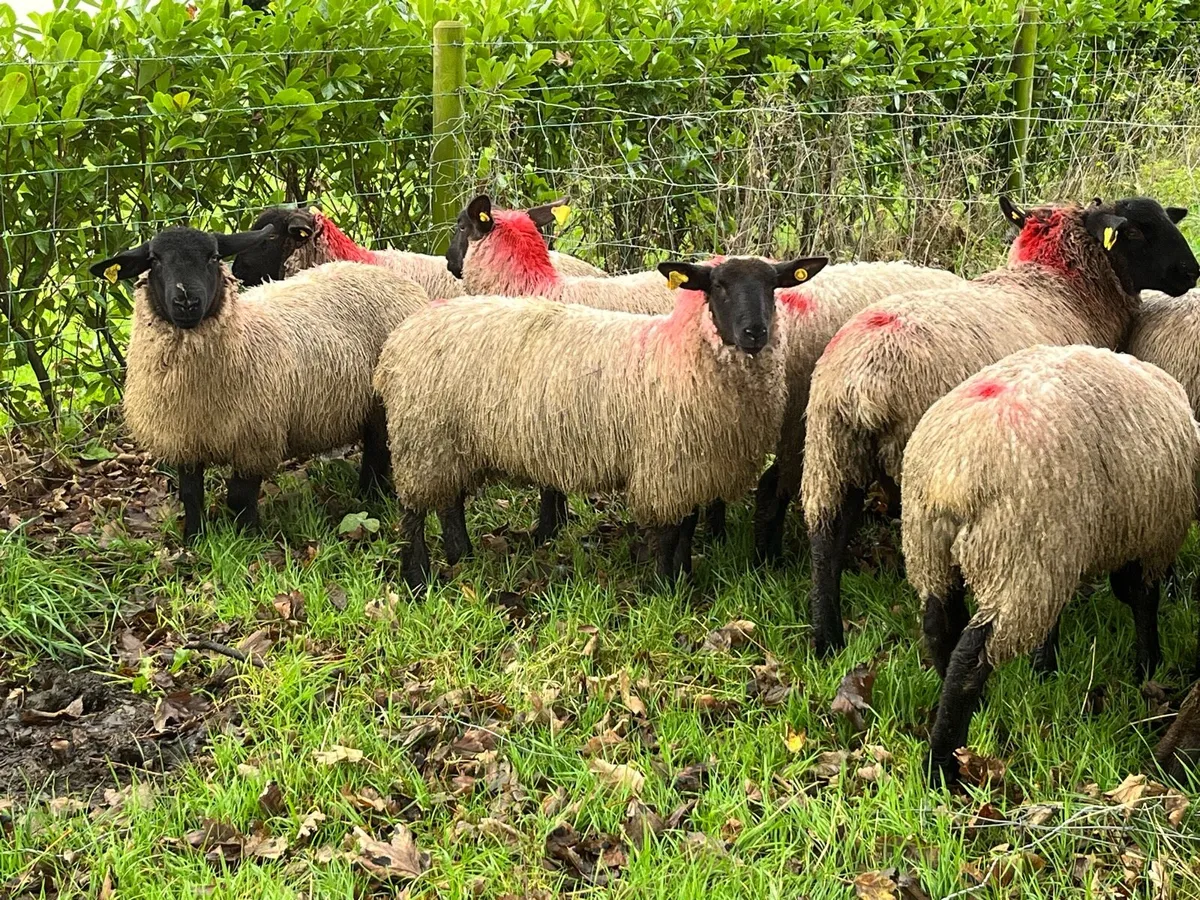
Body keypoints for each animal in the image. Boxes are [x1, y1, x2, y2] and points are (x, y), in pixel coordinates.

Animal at [90, 226, 429, 540]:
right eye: (154, 260)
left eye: (213, 257)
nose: (187, 301)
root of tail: (393, 277)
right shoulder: (184, 439)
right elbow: (190, 495)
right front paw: (195, 539)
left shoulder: (254, 439)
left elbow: (239, 497)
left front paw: (247, 540)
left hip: (384, 401)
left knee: (377, 451)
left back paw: (369, 497)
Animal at [373, 255, 827, 589]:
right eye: (718, 287)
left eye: (773, 286)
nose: (755, 332)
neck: (681, 355)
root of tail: (402, 335)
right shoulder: (665, 465)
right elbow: (668, 532)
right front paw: (665, 587)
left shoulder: (692, 466)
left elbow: (687, 525)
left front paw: (683, 578)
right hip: (421, 436)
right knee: (413, 511)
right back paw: (417, 576)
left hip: (447, 440)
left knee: (449, 503)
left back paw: (460, 555)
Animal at [800, 196, 1198, 657]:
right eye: (1134, 231)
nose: (1192, 271)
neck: (1059, 286)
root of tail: (864, 379)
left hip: (831, 451)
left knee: (826, 541)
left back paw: (827, 640)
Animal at [900, 344, 1200, 783]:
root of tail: (952, 475)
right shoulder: (1148, 538)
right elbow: (1142, 600)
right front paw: (1148, 665)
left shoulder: (1072, 547)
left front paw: (1045, 668)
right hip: (1017, 549)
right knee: (971, 656)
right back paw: (941, 763)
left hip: (934, 546)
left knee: (939, 626)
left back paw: (968, 709)